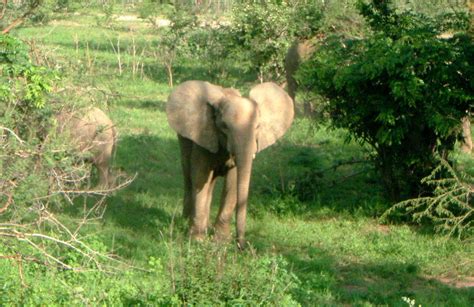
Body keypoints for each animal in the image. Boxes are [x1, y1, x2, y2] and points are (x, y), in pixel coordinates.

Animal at [166, 80, 292, 248]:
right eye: (224, 126)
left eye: (258, 127)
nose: (242, 246)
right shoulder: (203, 135)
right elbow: (200, 177)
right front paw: (197, 241)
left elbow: (233, 181)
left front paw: (221, 242)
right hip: (184, 139)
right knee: (189, 176)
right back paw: (185, 221)